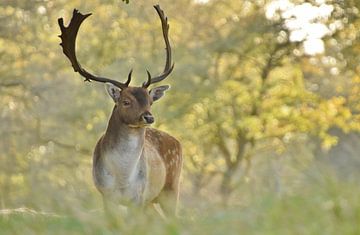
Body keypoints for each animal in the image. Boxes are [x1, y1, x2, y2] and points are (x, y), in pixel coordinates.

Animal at [59, 5, 184, 215]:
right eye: (125, 101)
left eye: (150, 101)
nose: (148, 117)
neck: (122, 179)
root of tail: (179, 143)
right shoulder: (106, 195)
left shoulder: (139, 198)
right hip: (154, 200)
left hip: (171, 189)